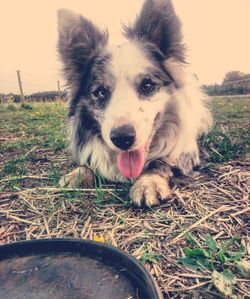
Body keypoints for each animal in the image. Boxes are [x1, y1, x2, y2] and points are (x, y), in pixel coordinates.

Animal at [57, 0, 212, 207]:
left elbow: (161, 161)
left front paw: (148, 183)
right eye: (101, 92)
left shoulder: (185, 154)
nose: (122, 138)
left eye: (147, 85)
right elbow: (89, 162)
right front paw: (76, 174)